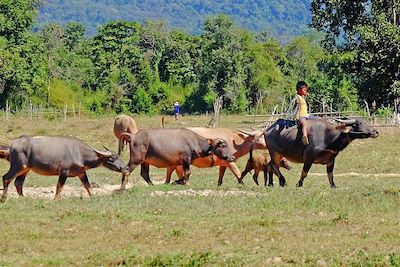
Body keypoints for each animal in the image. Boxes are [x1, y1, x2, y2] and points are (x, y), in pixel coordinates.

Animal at [0, 136, 128, 203]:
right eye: (112, 158)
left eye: (119, 156)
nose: (125, 168)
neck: (80, 153)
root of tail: (12, 146)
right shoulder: (64, 172)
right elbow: (59, 187)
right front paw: (55, 199)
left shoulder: (81, 172)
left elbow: (87, 185)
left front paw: (93, 196)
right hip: (18, 166)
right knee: (6, 178)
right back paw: (4, 198)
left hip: (25, 169)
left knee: (18, 183)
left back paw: (24, 199)